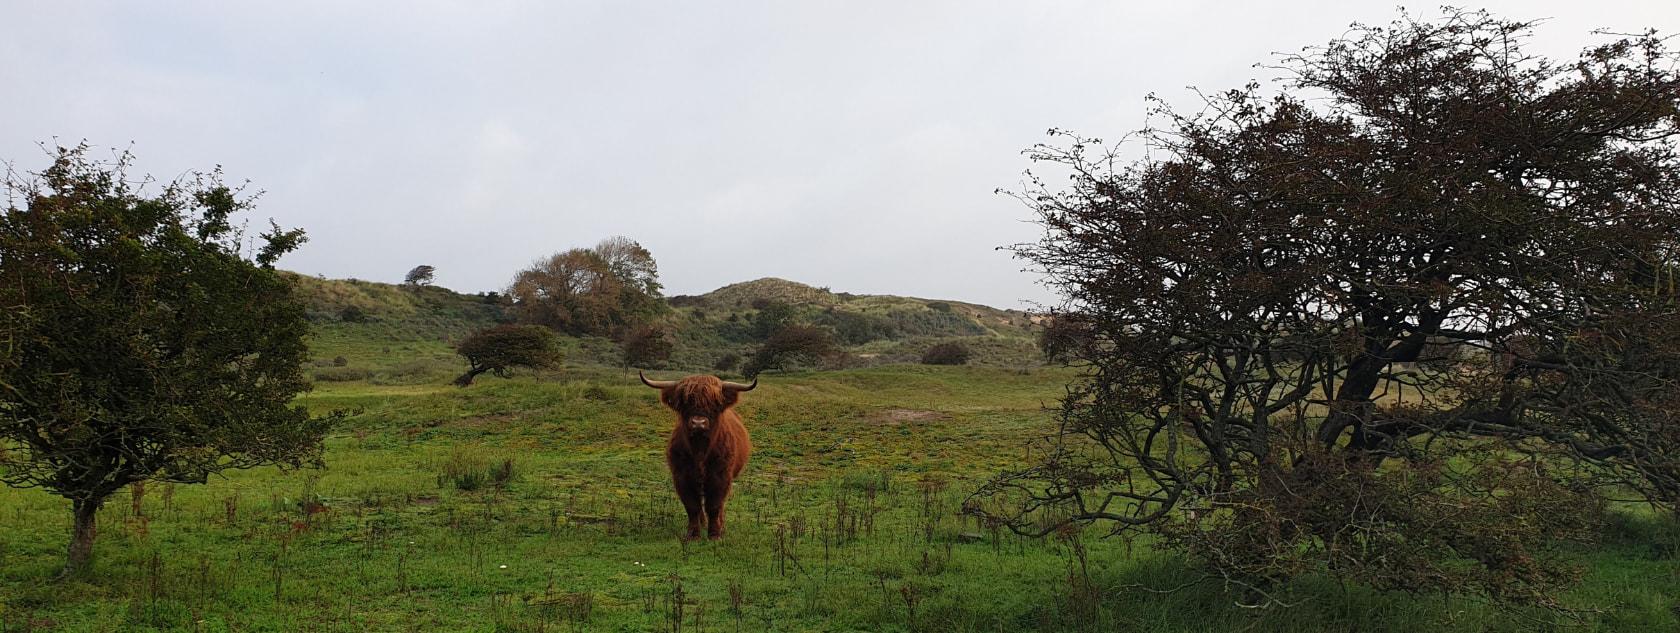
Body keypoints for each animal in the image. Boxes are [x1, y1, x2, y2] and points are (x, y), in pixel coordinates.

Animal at [635, 369, 756, 537]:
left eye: (714, 404)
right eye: (686, 402)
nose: (699, 423)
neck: (700, 450)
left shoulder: (721, 477)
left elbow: (714, 506)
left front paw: (715, 534)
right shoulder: (682, 477)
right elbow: (692, 507)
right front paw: (693, 535)